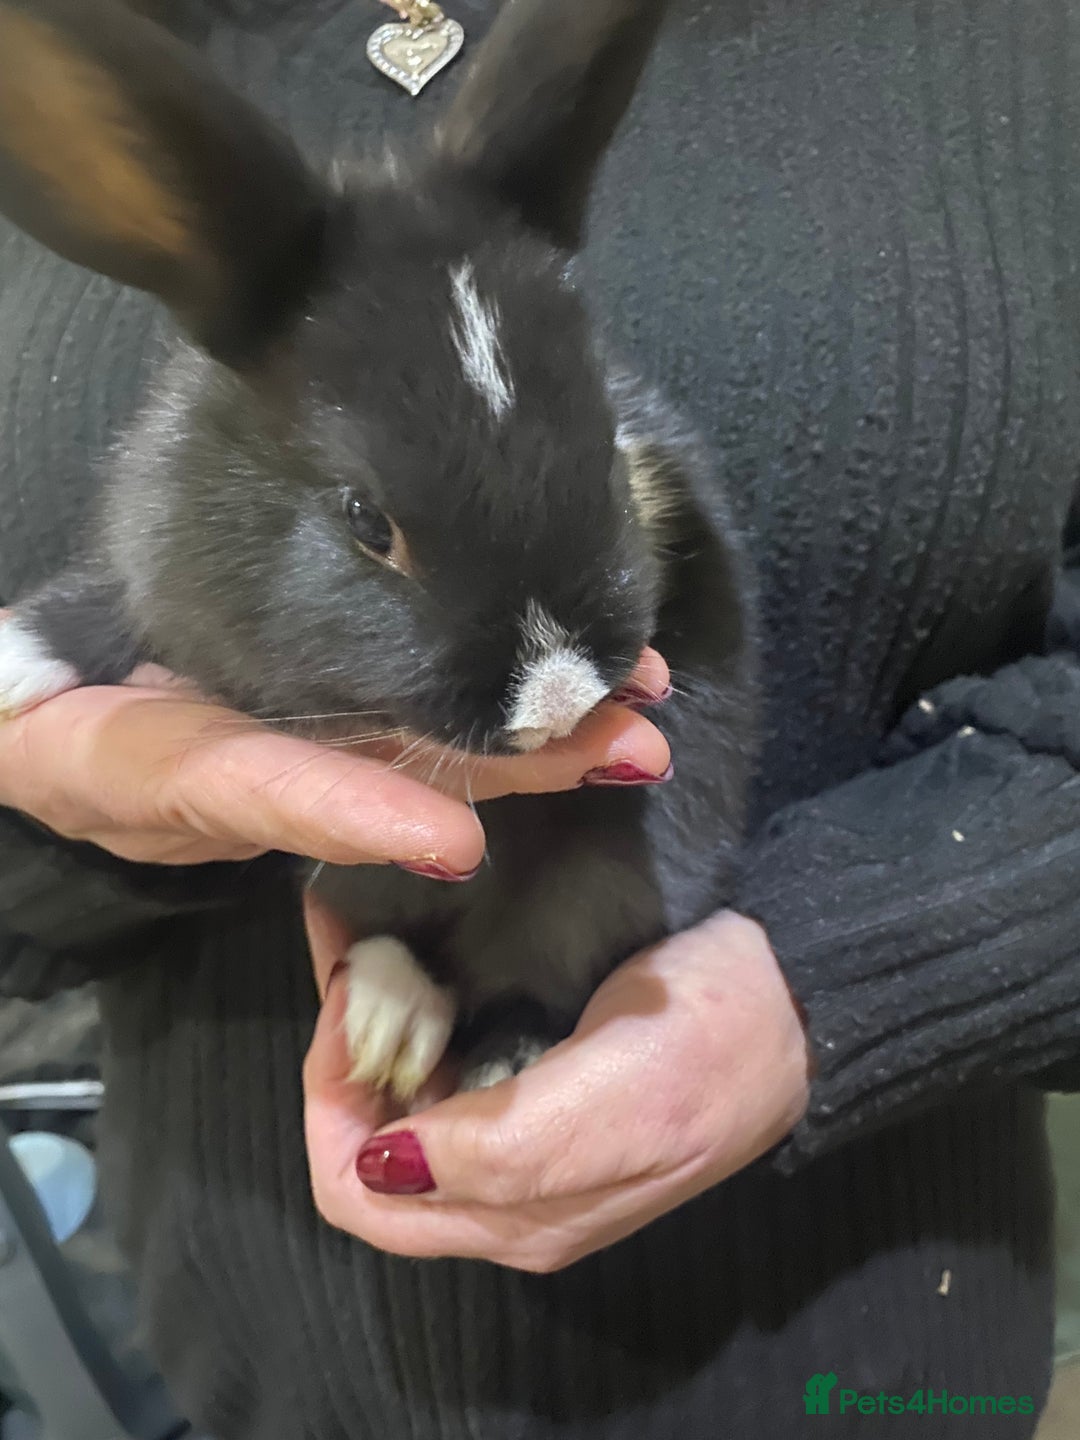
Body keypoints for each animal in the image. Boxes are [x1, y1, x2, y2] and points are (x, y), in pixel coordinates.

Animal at [0, 0, 758, 1096]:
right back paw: (389, 1022)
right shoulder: (154, 560)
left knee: (532, 959)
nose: (558, 698)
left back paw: (479, 1055)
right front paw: (16, 657)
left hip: (606, 880)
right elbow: (109, 605)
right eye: (367, 519)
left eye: (606, 450)